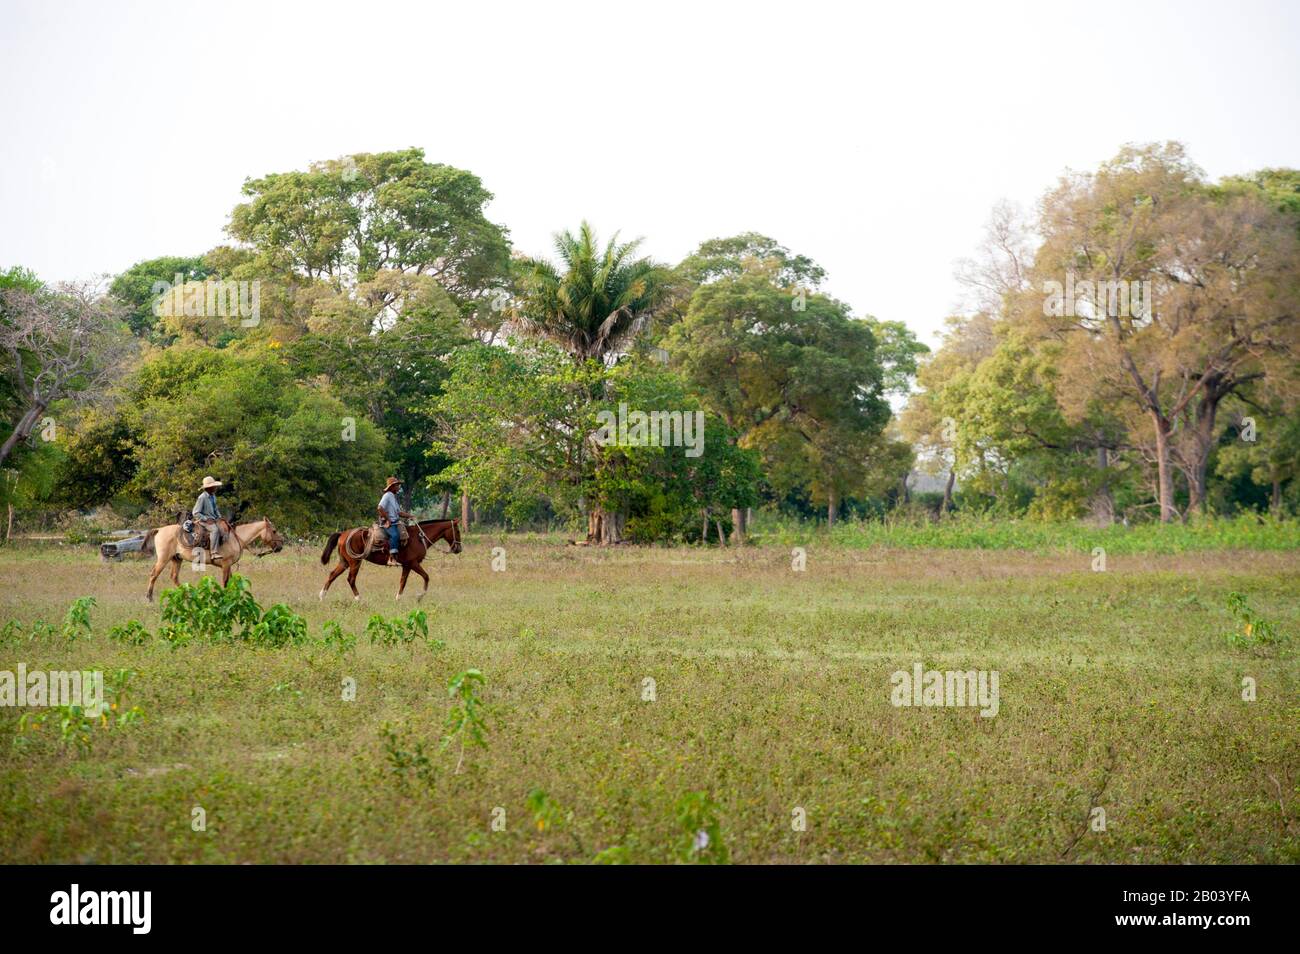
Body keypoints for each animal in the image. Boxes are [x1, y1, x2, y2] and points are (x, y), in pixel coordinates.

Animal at [142, 519, 284, 600]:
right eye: (274, 531)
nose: (280, 546)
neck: (236, 538)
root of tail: (159, 529)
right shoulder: (226, 564)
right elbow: (225, 581)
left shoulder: (228, 566)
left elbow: (230, 581)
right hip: (163, 559)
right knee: (154, 574)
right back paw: (149, 597)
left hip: (176, 559)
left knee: (174, 577)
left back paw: (188, 594)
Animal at [318, 519, 462, 600]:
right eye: (458, 531)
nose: (458, 548)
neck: (419, 537)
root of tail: (342, 534)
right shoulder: (413, 563)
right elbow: (426, 577)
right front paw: (420, 596)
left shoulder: (406, 566)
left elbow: (403, 582)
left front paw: (398, 598)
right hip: (355, 562)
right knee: (351, 579)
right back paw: (359, 598)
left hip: (344, 562)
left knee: (332, 575)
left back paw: (322, 596)